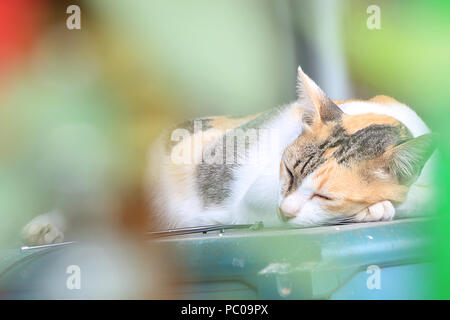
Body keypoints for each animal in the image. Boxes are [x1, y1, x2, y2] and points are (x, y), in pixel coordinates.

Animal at [21, 66, 436, 244]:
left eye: (325, 194)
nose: (285, 213)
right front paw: (378, 208)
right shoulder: (256, 194)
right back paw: (45, 227)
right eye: (288, 172)